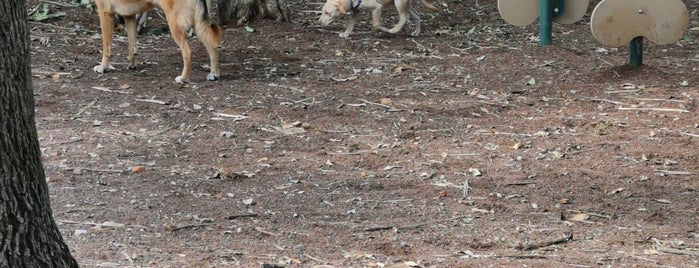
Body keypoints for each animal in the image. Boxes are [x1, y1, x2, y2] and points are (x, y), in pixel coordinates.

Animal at [91, 0, 220, 82]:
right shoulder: (130, 16)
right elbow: (132, 46)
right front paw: (132, 65)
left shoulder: (105, 12)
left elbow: (106, 48)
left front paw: (103, 68)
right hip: (198, 25)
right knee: (212, 46)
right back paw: (214, 74)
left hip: (175, 24)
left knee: (188, 52)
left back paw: (183, 79)